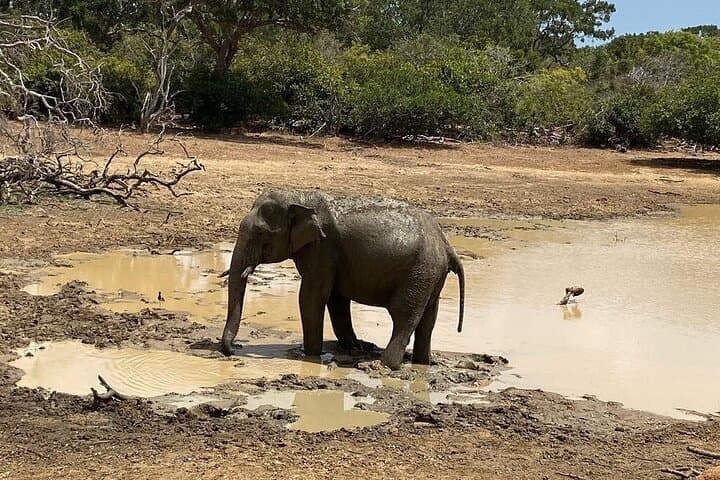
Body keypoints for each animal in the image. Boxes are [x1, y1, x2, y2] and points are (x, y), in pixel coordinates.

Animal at [221, 189, 465, 370]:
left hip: (418, 272)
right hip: (430, 275)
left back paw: (384, 366)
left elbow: (311, 297)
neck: (299, 197)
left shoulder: (322, 249)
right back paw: (422, 363)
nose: (235, 349)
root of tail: (447, 245)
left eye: (262, 234)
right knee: (428, 318)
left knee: (404, 315)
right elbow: (336, 299)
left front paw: (308, 354)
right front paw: (354, 348)